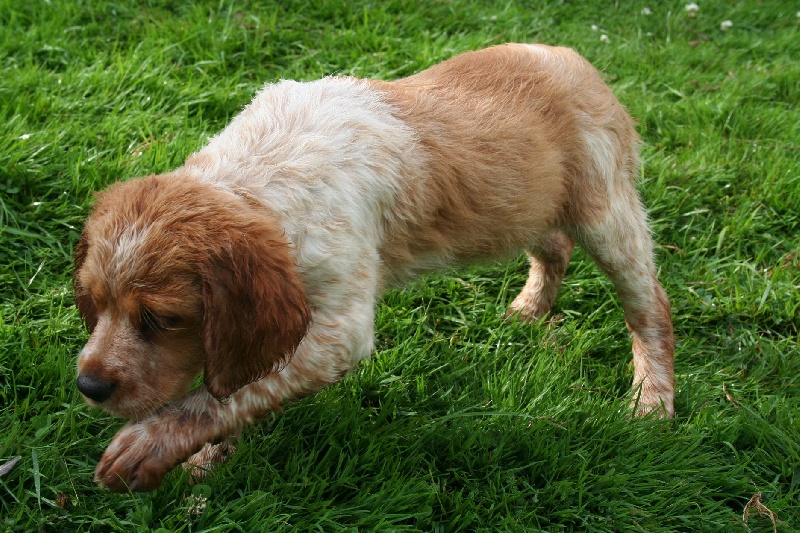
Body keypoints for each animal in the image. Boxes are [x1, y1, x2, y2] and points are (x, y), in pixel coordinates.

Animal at [75, 44, 676, 490]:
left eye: (162, 320)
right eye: (95, 306)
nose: (88, 386)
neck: (257, 177)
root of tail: (575, 58)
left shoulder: (337, 333)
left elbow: (226, 393)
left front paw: (147, 447)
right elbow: (229, 382)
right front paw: (206, 460)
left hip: (606, 211)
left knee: (651, 307)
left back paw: (652, 406)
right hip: (527, 203)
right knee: (553, 247)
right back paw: (529, 310)